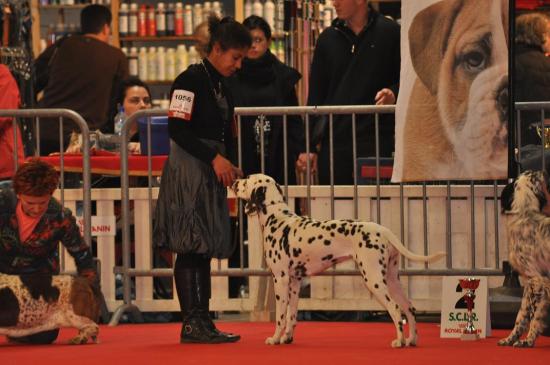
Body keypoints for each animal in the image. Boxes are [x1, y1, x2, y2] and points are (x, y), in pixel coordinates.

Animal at [233, 173, 448, 346]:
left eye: (247, 179)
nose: (234, 181)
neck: (278, 219)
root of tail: (383, 230)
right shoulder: (295, 282)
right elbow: (292, 316)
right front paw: (287, 338)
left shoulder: (281, 279)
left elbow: (280, 316)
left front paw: (275, 339)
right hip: (392, 279)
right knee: (409, 308)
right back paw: (411, 340)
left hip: (374, 279)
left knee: (396, 310)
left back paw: (399, 341)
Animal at [500, 171, 550, 346]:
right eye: (537, 175)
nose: (545, 172)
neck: (525, 214)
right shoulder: (531, 282)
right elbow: (522, 315)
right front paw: (510, 339)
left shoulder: (537, 280)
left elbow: (533, 317)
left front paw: (527, 341)